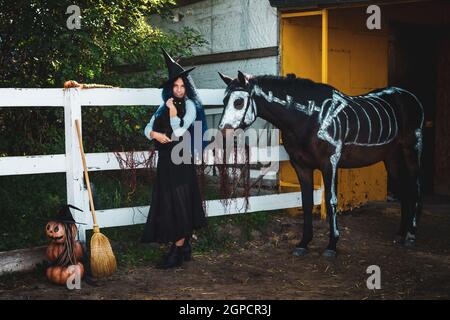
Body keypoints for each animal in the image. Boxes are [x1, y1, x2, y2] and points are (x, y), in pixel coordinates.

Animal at [216, 71, 424, 256]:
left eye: (238, 102)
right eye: (224, 101)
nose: (223, 133)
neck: (310, 118)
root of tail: (410, 97)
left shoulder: (329, 164)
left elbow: (331, 201)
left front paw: (332, 245)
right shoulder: (301, 167)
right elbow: (307, 202)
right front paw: (303, 243)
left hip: (412, 151)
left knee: (415, 190)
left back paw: (411, 235)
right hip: (391, 157)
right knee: (403, 191)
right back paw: (401, 233)